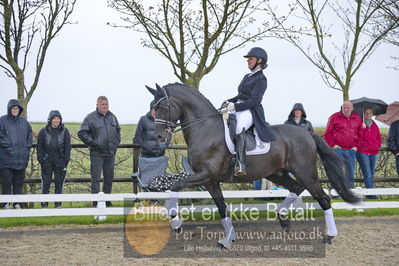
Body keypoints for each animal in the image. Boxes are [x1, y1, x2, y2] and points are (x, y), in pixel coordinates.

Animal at [146, 82, 360, 248]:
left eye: (163, 107)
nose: (159, 137)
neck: (205, 129)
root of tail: (307, 133)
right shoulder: (210, 181)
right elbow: (222, 207)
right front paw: (228, 239)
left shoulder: (206, 175)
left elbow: (175, 185)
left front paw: (176, 222)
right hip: (277, 173)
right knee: (296, 188)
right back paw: (283, 219)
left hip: (305, 172)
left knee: (323, 199)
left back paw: (329, 236)